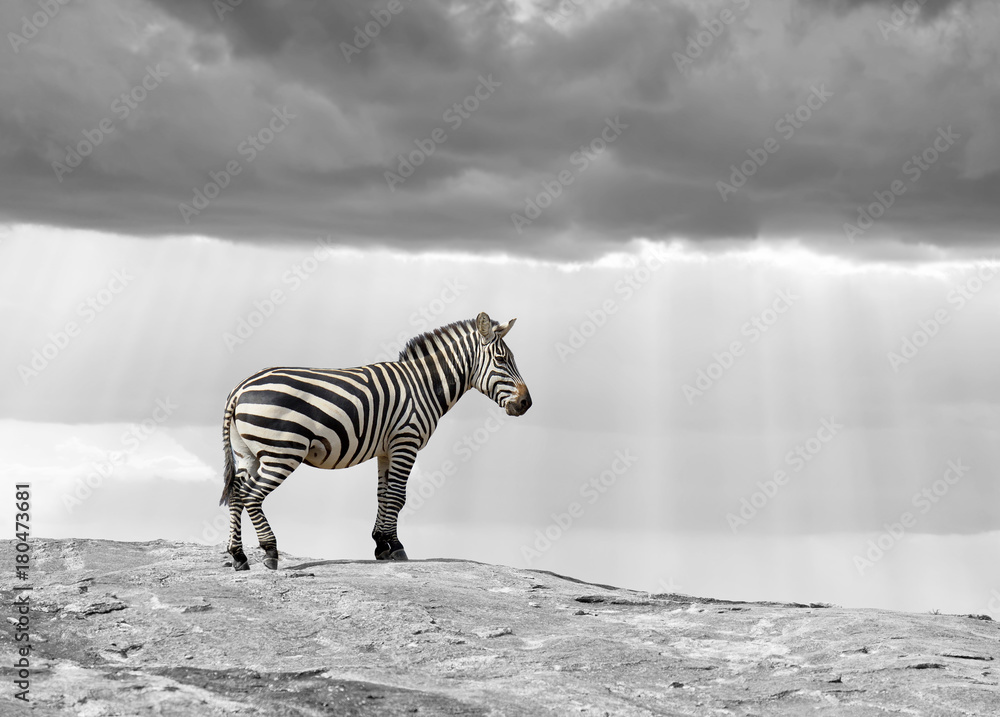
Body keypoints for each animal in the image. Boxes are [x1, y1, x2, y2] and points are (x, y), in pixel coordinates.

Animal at [220, 311, 532, 570]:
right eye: (502, 360)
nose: (526, 403)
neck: (423, 385)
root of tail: (240, 388)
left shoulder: (386, 449)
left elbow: (384, 495)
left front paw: (381, 544)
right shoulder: (406, 440)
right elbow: (398, 496)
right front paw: (396, 548)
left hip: (247, 452)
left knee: (236, 492)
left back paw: (238, 557)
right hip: (283, 451)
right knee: (252, 495)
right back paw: (270, 552)